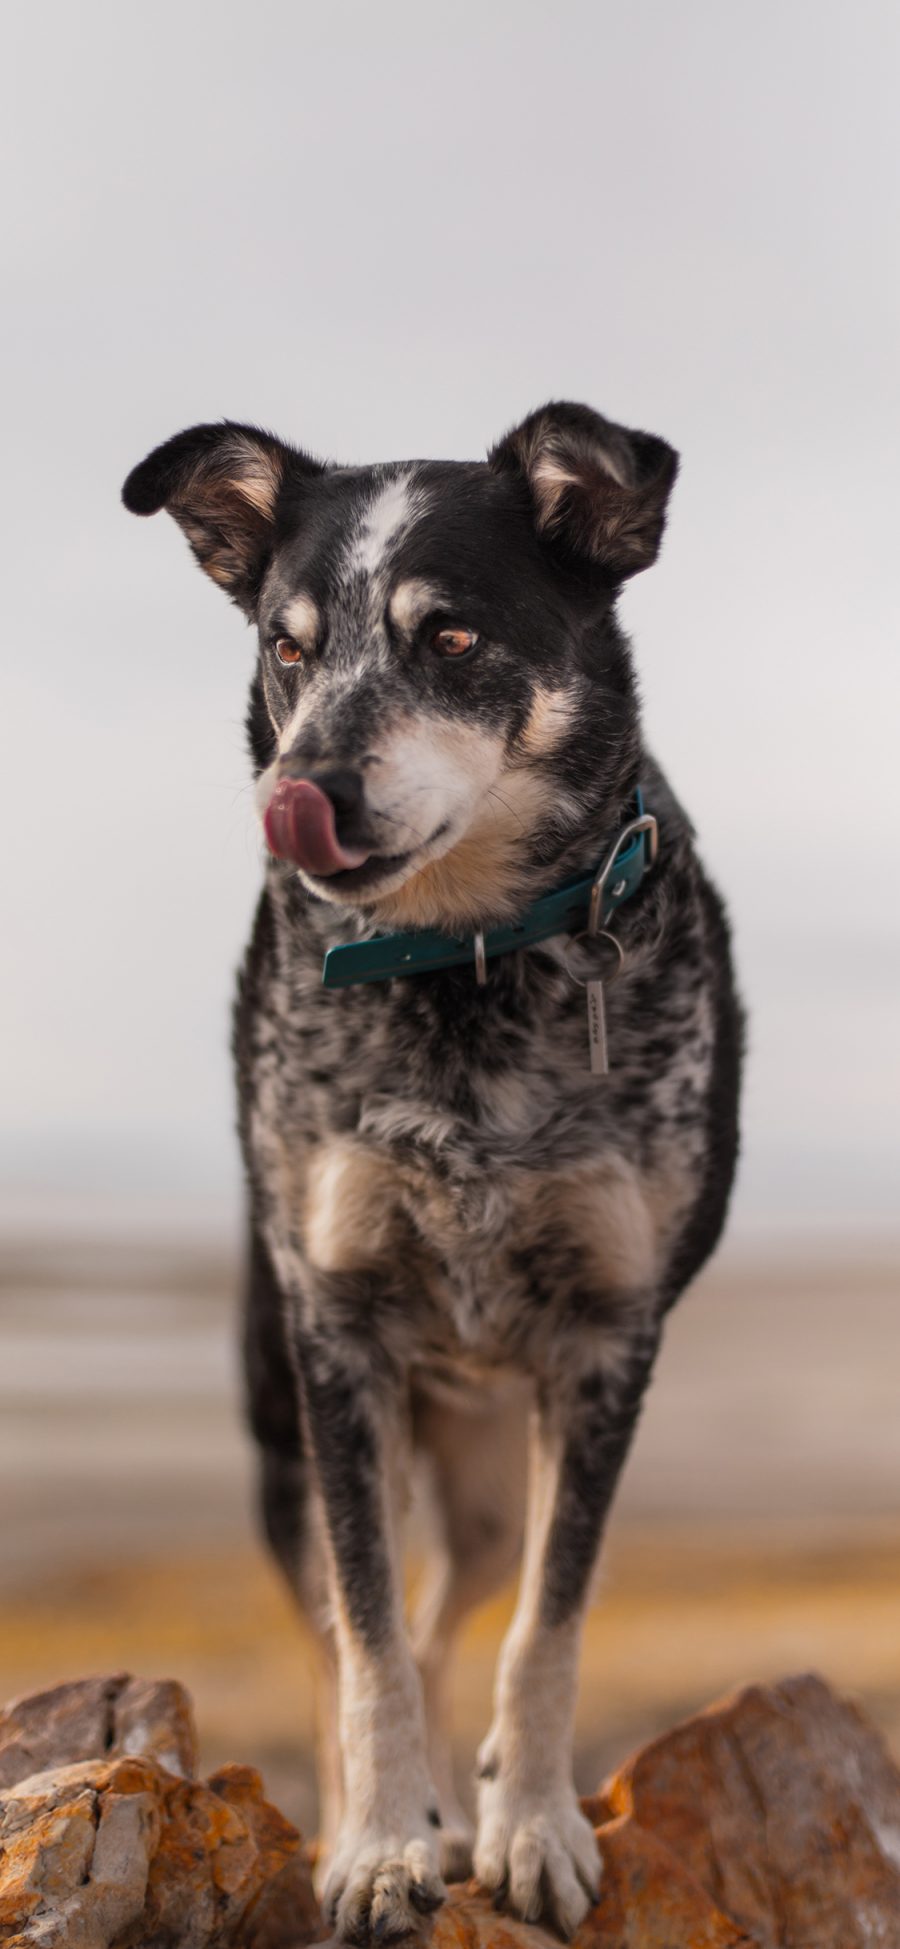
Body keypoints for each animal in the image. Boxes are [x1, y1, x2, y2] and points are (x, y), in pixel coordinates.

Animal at [126, 403, 744, 1941]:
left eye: (452, 636)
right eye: (289, 646)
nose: (301, 793)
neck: (461, 965)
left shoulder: (606, 1343)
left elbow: (547, 1624)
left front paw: (528, 1830)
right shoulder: (338, 1339)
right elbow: (365, 1637)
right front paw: (378, 1845)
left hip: (484, 1480)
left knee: (465, 1608)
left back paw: (464, 1809)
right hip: (293, 1431)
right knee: (356, 1623)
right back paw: (391, 1814)